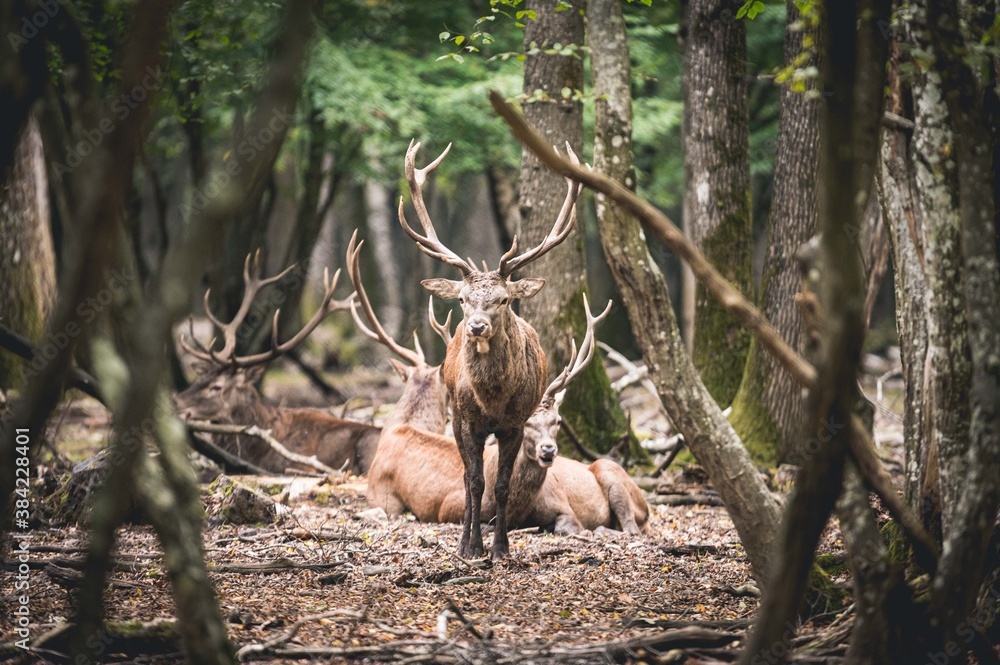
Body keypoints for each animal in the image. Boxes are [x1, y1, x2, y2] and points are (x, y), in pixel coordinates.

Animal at [398, 138, 584, 558]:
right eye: (463, 299)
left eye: (503, 299)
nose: (477, 326)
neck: (493, 399)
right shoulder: (468, 420)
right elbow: (475, 481)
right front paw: (472, 547)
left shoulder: (515, 423)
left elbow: (500, 485)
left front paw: (501, 548)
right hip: (455, 417)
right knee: (468, 476)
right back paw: (464, 540)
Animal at [482, 295, 651, 536]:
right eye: (525, 422)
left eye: (558, 420)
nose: (548, 449)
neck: (517, 511)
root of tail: (646, 508)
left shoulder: (564, 508)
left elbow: (567, 526)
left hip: (611, 473)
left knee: (631, 528)